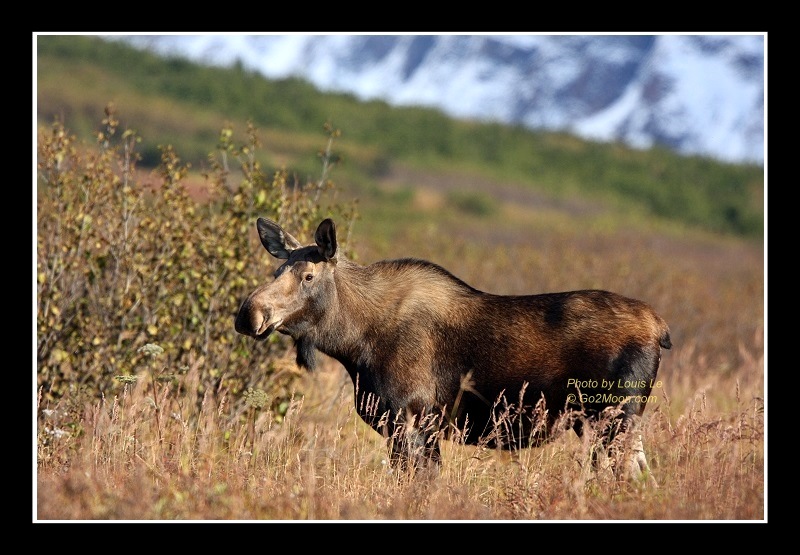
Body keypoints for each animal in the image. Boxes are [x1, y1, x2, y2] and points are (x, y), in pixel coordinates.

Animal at [235, 217, 671, 484]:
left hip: (614, 420)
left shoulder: (412, 421)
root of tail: (661, 328)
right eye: (277, 270)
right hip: (610, 424)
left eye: (308, 276)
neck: (355, 344)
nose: (248, 313)